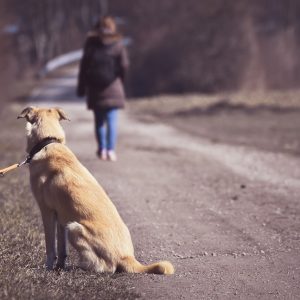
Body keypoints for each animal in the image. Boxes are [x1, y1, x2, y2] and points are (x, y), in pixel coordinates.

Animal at [18, 106, 173, 274]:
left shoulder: (47, 211)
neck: (48, 141)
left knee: (106, 267)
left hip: (74, 228)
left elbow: (50, 247)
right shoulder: (61, 217)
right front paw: (59, 266)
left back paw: (83, 266)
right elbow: (62, 249)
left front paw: (48, 268)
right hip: (69, 224)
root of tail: (127, 257)